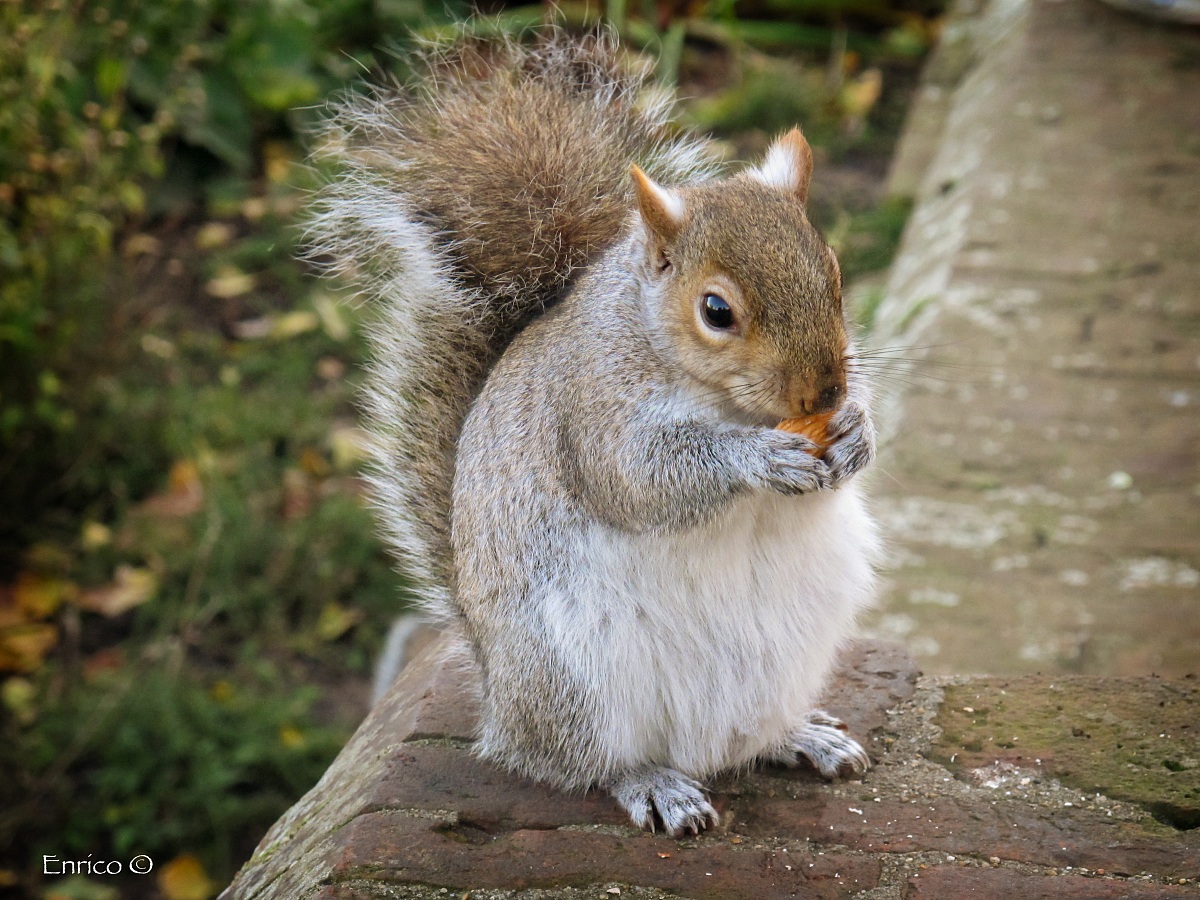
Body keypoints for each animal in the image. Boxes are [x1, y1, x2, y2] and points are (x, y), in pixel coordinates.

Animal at [310, 31, 881, 836]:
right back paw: (656, 783)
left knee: (743, 739)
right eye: (716, 311)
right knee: (582, 762)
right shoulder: (591, 411)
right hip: (574, 673)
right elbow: (638, 480)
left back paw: (799, 737)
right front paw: (759, 457)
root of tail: (499, 698)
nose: (823, 392)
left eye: (832, 273)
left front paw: (858, 430)